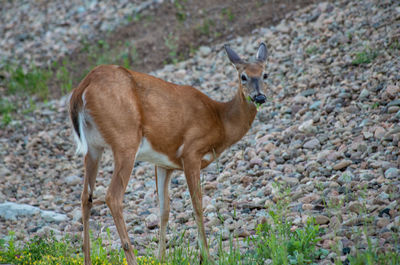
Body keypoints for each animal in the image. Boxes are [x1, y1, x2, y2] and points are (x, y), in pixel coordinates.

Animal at [69, 42, 268, 262]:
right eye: (243, 76)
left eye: (265, 74)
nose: (259, 96)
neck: (220, 120)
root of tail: (82, 89)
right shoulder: (191, 152)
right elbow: (197, 205)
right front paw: (206, 256)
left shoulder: (164, 163)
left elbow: (164, 210)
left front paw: (161, 258)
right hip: (125, 139)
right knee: (113, 196)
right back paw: (132, 257)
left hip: (93, 148)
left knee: (85, 198)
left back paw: (87, 259)